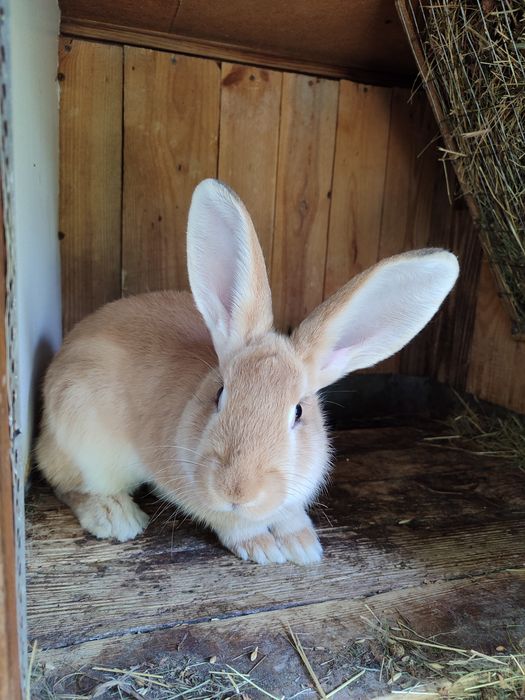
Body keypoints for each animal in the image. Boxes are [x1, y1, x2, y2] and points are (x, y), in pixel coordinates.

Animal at [36, 179, 459, 565]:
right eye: (220, 395)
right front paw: (264, 548)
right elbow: (232, 524)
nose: (237, 491)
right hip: (84, 437)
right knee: (66, 483)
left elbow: (289, 515)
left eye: (298, 412)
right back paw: (116, 517)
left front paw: (303, 547)